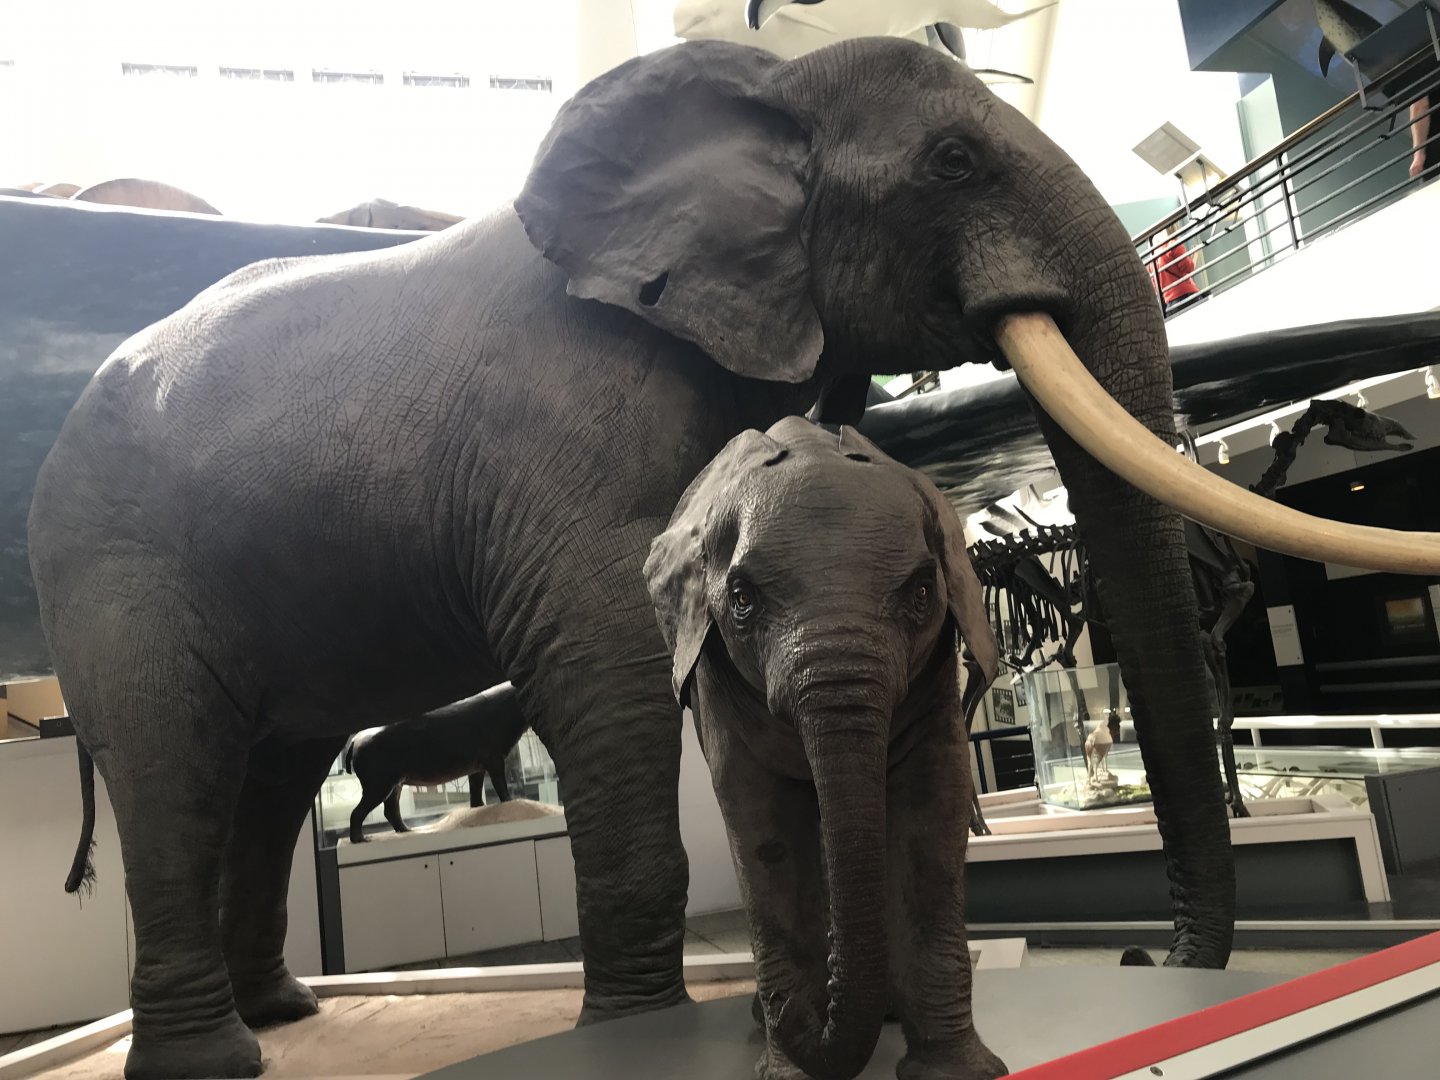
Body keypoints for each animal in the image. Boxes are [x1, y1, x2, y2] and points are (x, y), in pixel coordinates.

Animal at [340, 682, 529, 844]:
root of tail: (355, 739)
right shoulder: (495, 760)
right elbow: (501, 787)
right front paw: (511, 801)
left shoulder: (477, 768)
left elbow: (475, 793)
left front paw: (478, 809)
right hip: (378, 787)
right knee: (357, 813)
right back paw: (362, 840)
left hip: (394, 785)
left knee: (390, 810)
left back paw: (407, 831)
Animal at [645, 416, 1005, 1080]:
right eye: (741, 600)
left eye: (923, 592)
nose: (793, 1013)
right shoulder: (712, 676)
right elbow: (763, 824)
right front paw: (786, 1061)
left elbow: (930, 812)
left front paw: (957, 1073)